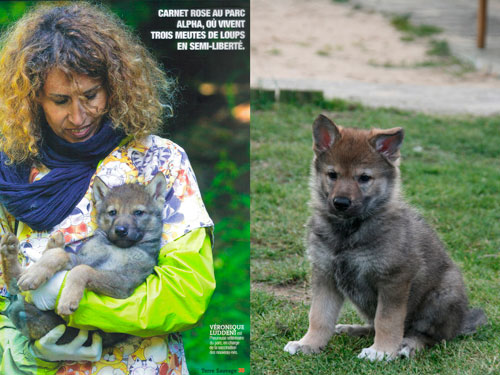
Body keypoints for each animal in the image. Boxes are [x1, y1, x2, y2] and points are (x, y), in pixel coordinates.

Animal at [0, 173, 168, 346]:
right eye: (112, 212)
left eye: (138, 212)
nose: (120, 231)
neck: (116, 248)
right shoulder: (82, 258)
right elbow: (59, 256)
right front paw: (35, 274)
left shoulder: (124, 285)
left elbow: (81, 271)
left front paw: (68, 299)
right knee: (15, 282)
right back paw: (14, 250)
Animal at [284, 115, 486, 362]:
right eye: (332, 175)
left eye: (364, 178)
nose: (340, 203)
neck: (349, 231)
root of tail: (461, 323)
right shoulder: (325, 274)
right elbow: (320, 316)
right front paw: (308, 344)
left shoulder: (394, 279)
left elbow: (387, 320)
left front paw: (381, 351)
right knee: (372, 325)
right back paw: (351, 329)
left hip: (442, 295)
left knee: (430, 337)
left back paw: (407, 345)